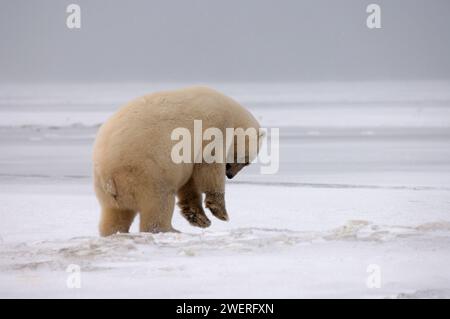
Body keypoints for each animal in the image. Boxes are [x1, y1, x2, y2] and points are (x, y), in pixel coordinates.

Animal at [93, 86, 262, 236]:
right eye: (246, 161)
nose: (230, 175)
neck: (232, 115)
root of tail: (108, 177)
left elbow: (189, 183)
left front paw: (200, 219)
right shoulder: (214, 127)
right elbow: (209, 168)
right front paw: (221, 213)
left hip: (111, 191)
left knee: (115, 214)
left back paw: (114, 232)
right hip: (146, 171)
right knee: (159, 202)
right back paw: (170, 230)